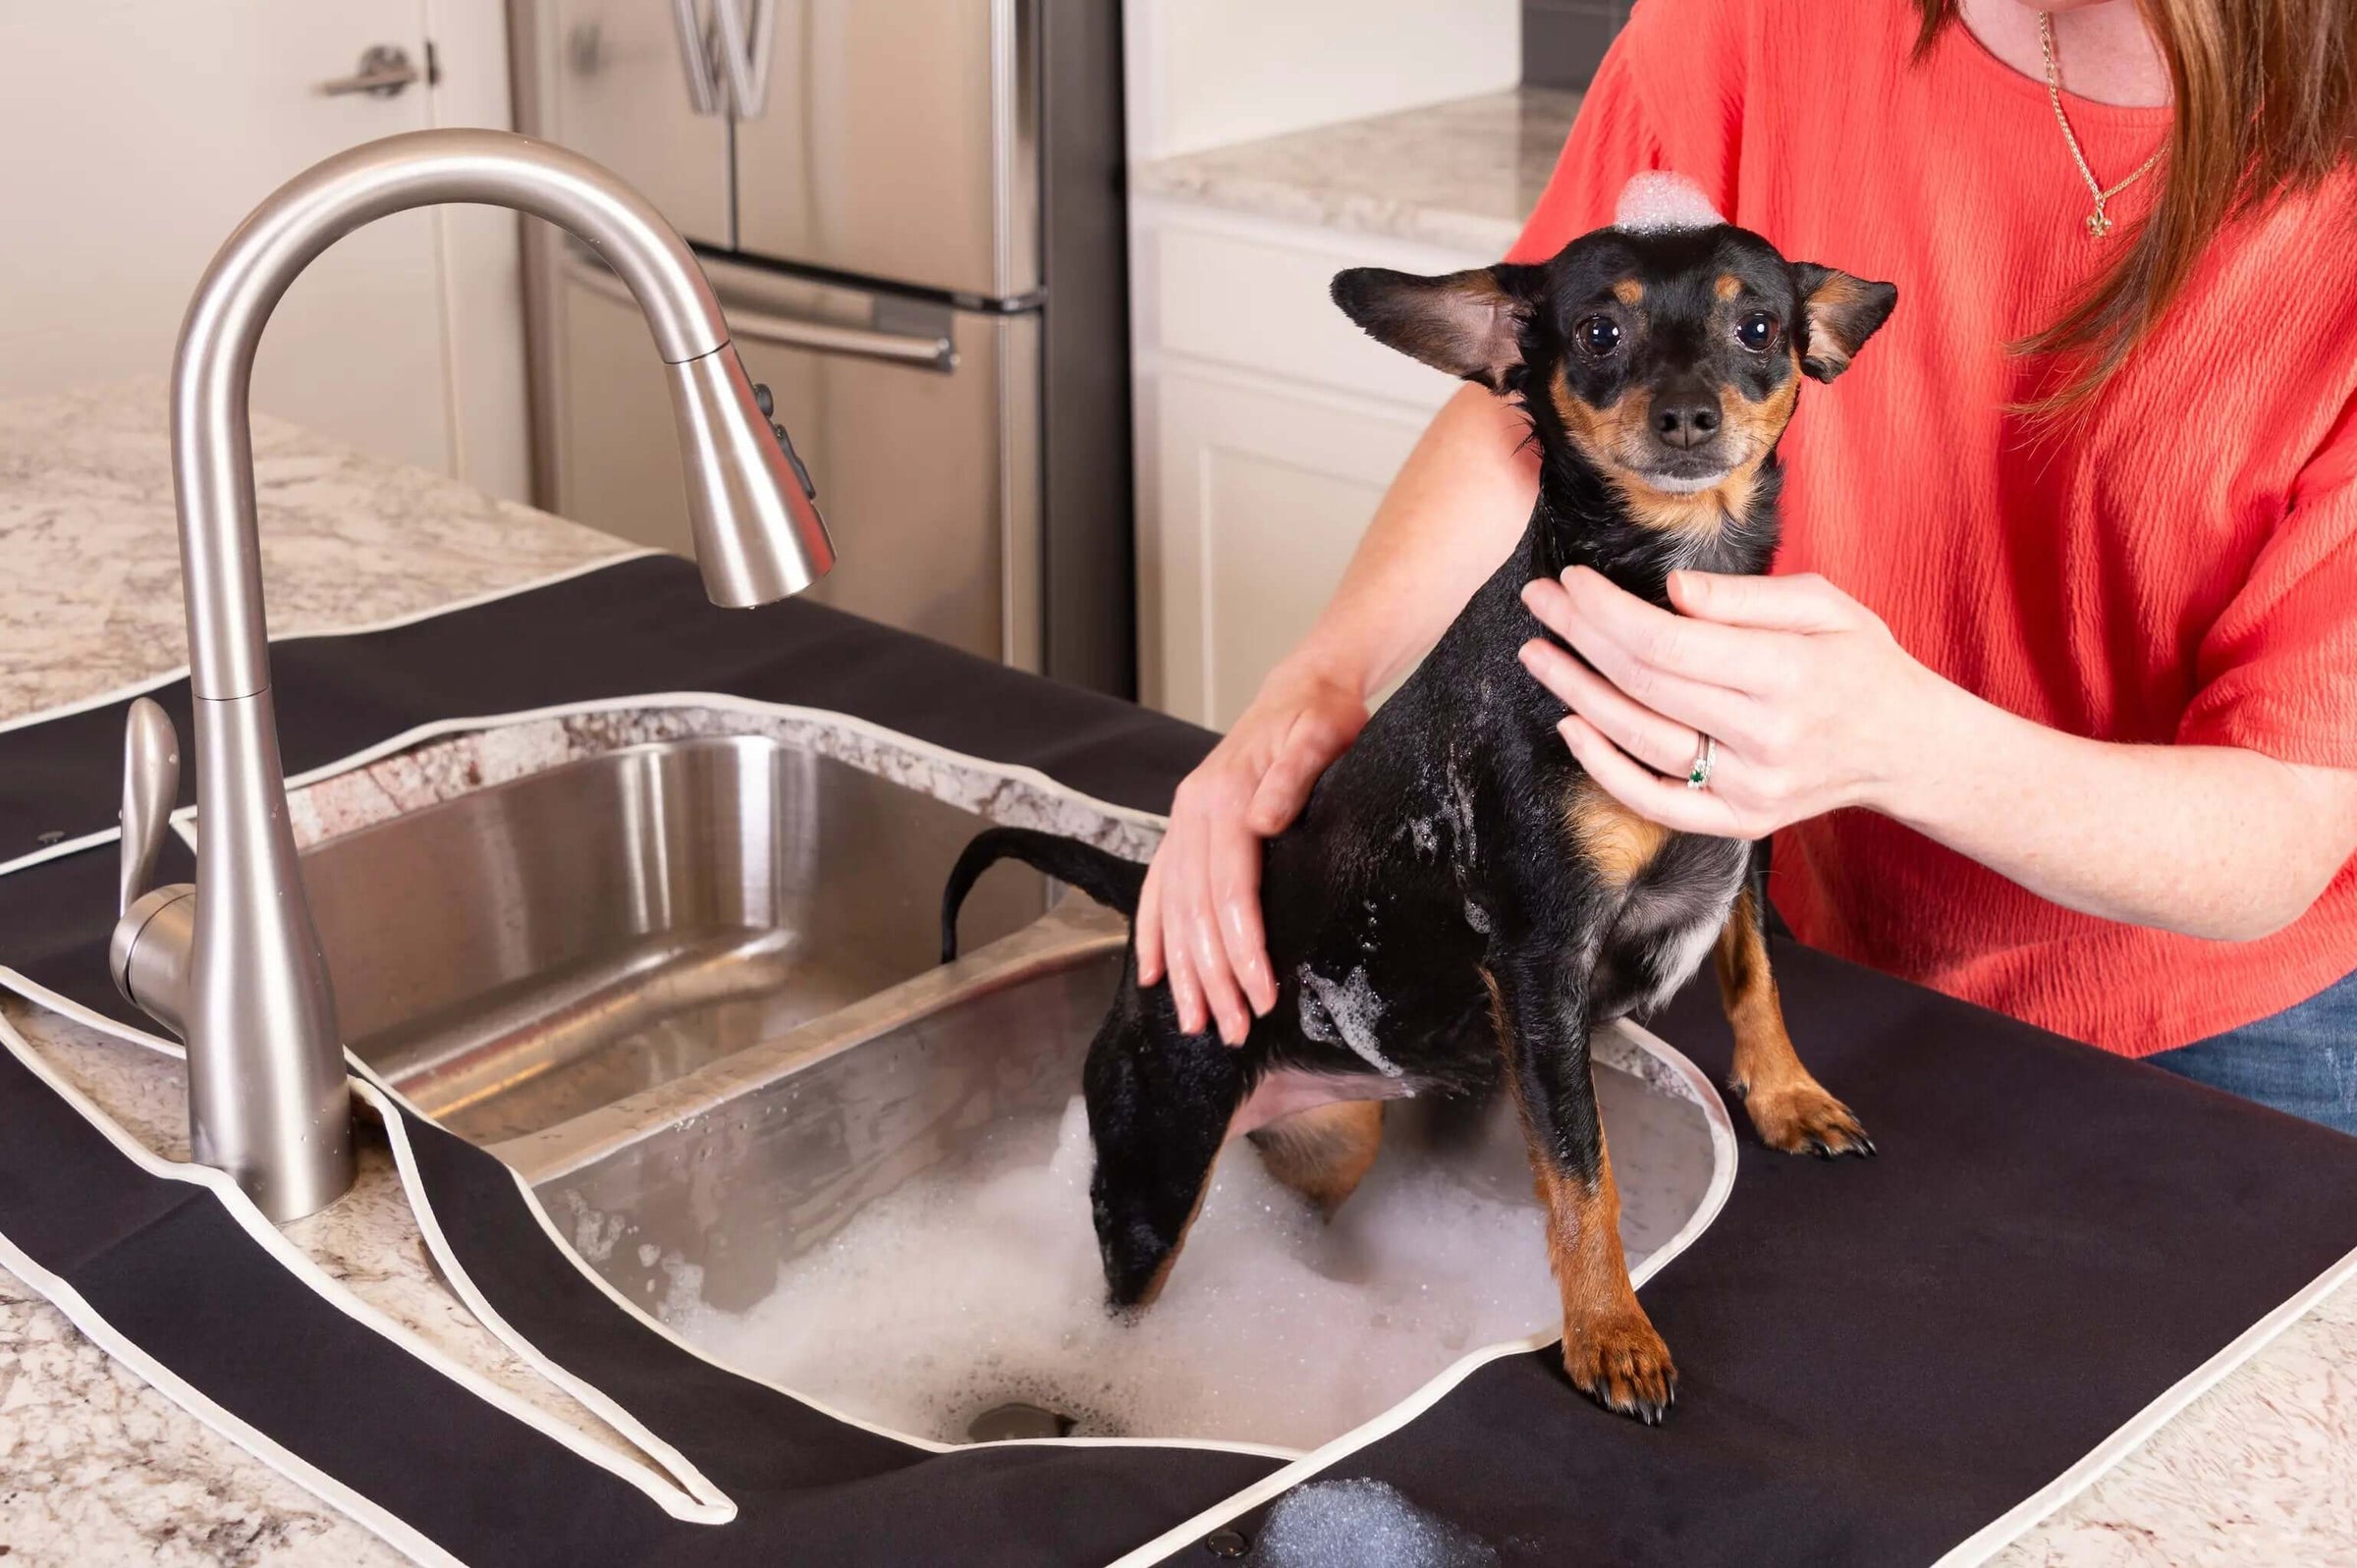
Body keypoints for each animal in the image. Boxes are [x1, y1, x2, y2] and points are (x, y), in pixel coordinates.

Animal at [938, 207, 1894, 1414]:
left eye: (1757, 325)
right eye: (1602, 331)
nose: (1688, 413)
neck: (1668, 595)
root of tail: (1152, 905)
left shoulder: (1748, 851)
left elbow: (1756, 973)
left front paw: (1786, 1095)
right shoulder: (1542, 963)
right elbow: (1581, 1174)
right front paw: (1609, 1329)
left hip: (1331, 1133)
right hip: (1155, 1163)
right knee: (1125, 1295)